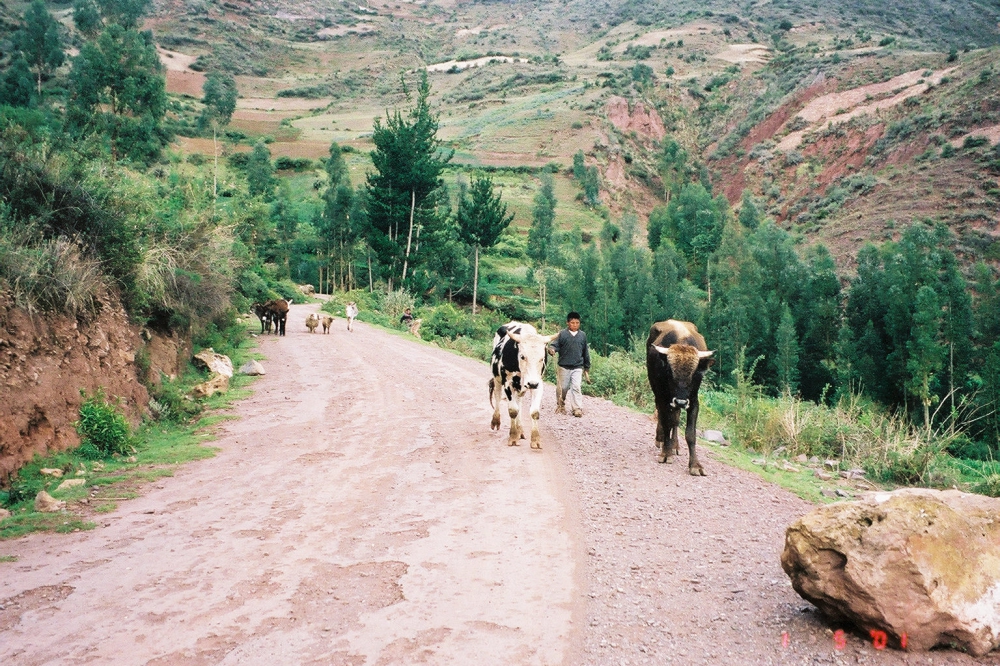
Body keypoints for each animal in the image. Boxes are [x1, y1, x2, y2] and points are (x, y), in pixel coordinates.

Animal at [648, 320, 712, 474]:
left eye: (694, 374)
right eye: (670, 372)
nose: (681, 401)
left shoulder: (693, 401)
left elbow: (690, 433)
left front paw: (695, 465)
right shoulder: (663, 398)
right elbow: (666, 423)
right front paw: (666, 453)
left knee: (675, 419)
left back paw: (675, 445)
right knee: (664, 416)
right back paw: (661, 440)